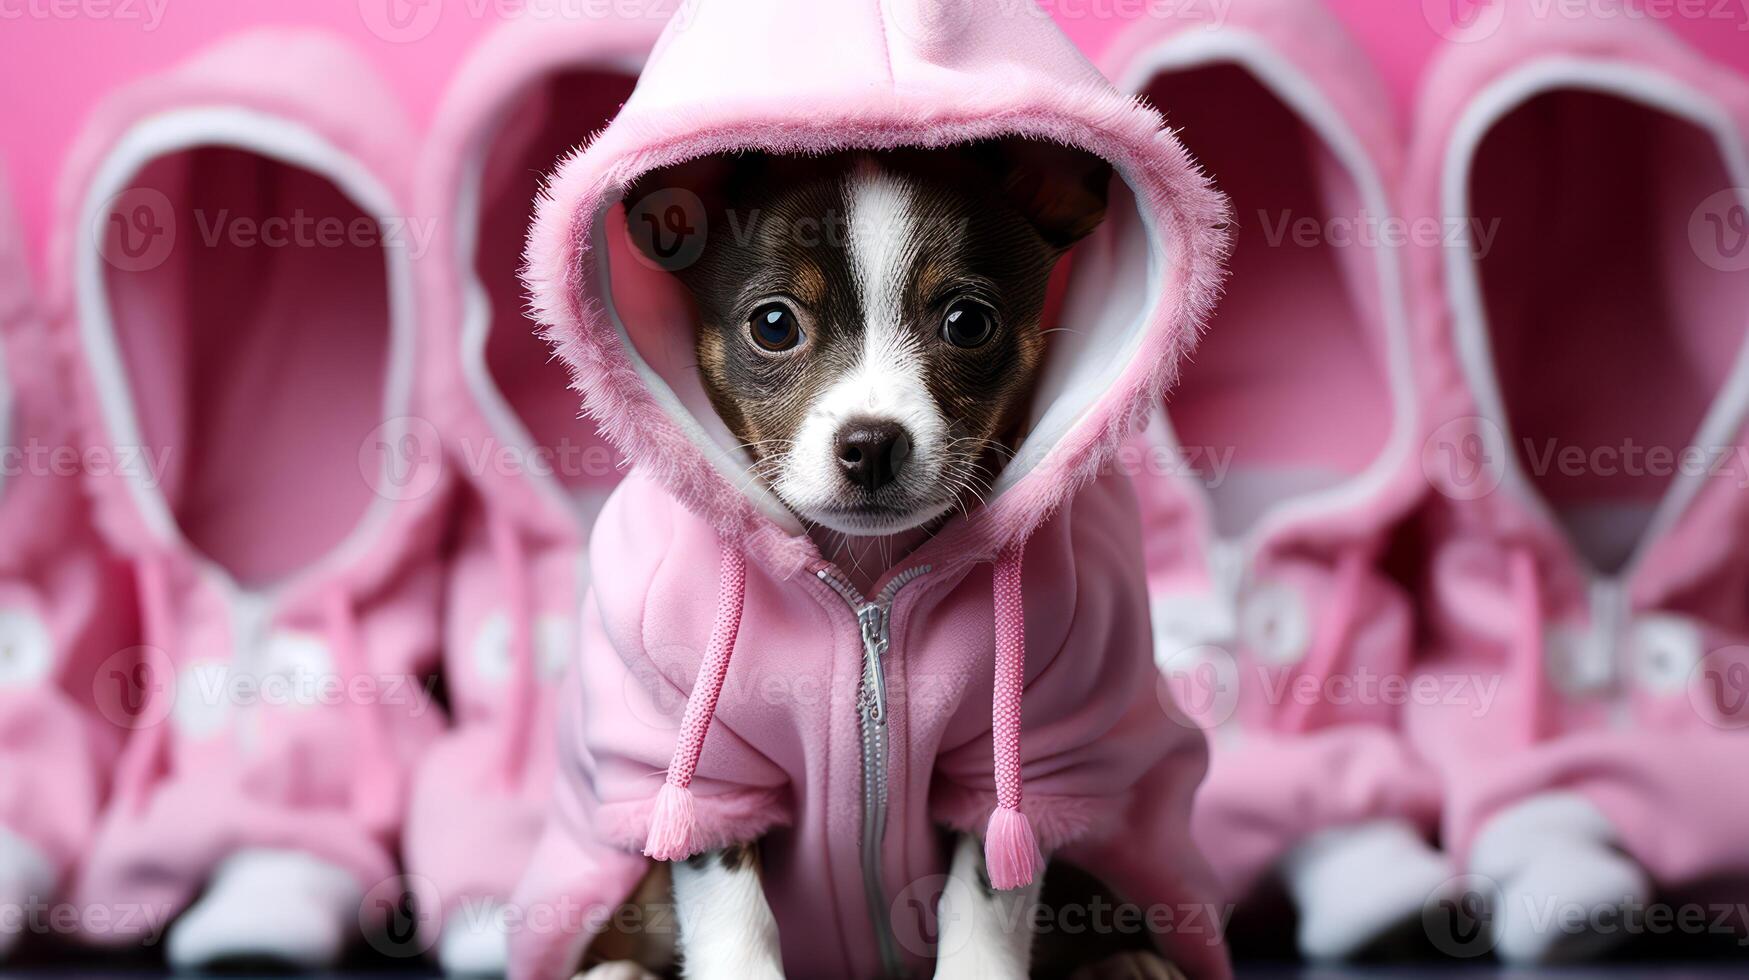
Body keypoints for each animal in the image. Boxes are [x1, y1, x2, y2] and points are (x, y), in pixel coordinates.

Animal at [605, 145, 1189, 980]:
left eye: (968, 323)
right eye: (773, 325)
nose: (872, 442)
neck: (866, 590)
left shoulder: (1019, 767)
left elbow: (984, 901)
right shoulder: (706, 771)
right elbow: (730, 912)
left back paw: (1128, 961)